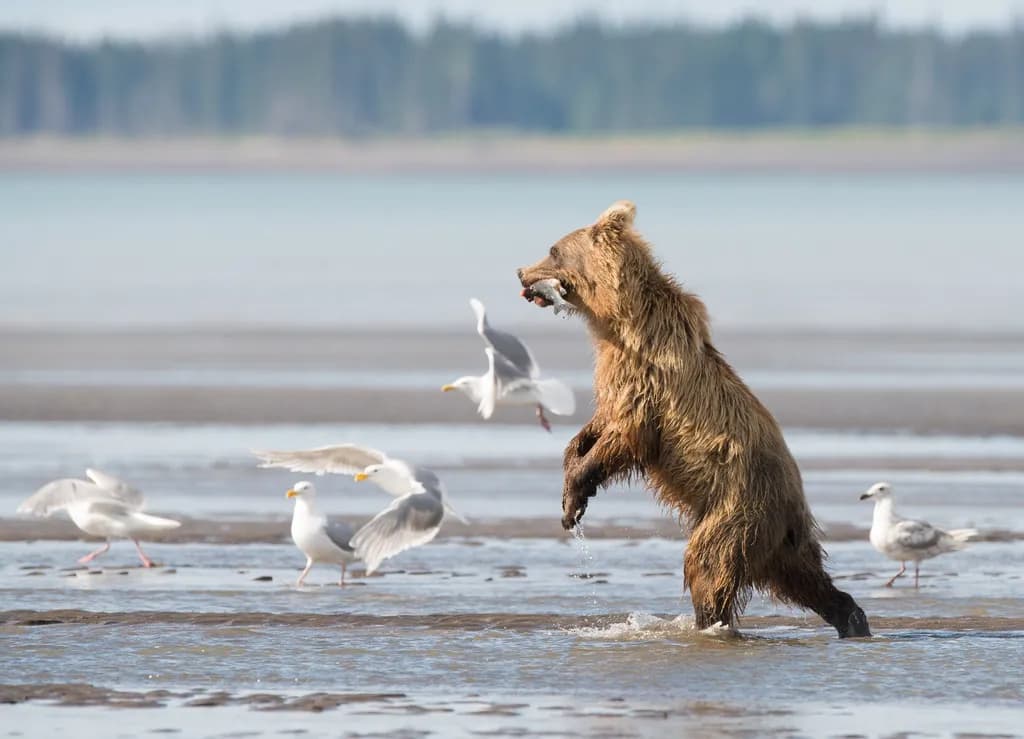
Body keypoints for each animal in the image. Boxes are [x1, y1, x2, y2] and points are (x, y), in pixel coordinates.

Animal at [517, 200, 871, 638]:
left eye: (552, 250)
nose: (520, 272)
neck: (617, 321)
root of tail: (793, 507)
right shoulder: (615, 375)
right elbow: (597, 426)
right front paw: (571, 482)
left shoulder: (648, 381)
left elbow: (626, 435)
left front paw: (574, 500)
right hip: (777, 539)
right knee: (806, 579)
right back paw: (851, 618)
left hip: (736, 510)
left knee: (708, 565)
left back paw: (709, 623)